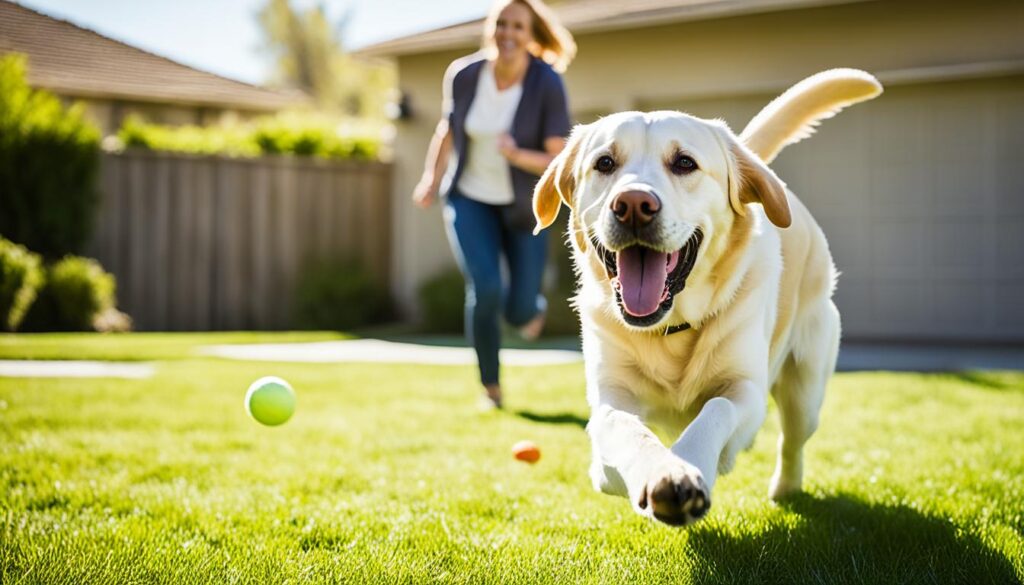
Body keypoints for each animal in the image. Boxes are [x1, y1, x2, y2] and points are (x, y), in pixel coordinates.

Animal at [536, 68, 880, 524]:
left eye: (685, 163)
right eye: (604, 163)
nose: (633, 204)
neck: (671, 328)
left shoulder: (746, 393)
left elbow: (716, 410)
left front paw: (689, 466)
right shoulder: (608, 405)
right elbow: (625, 429)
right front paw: (663, 472)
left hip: (806, 387)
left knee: (792, 440)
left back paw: (786, 489)